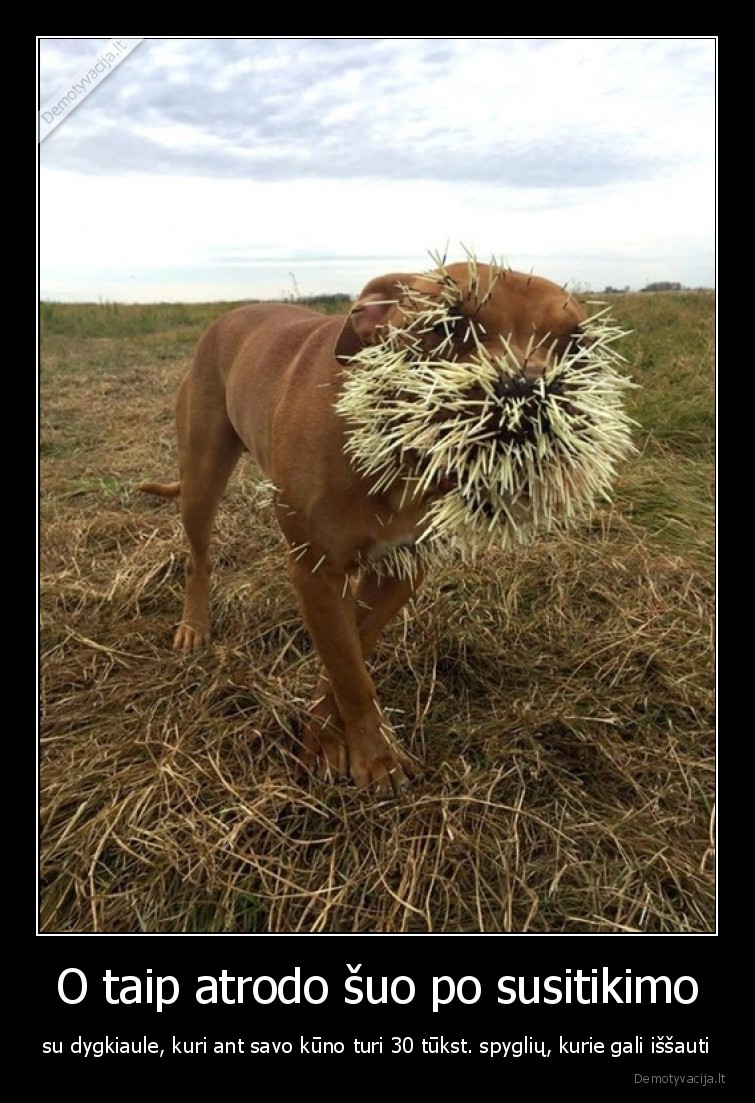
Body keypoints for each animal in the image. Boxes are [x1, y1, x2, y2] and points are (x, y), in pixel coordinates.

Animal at [141, 260, 591, 794]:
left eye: (577, 345)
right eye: (448, 325)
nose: (526, 394)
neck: (396, 454)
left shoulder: (401, 569)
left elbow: (350, 652)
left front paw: (329, 738)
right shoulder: (316, 568)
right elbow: (349, 670)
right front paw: (374, 758)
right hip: (202, 473)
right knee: (198, 556)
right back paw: (194, 626)